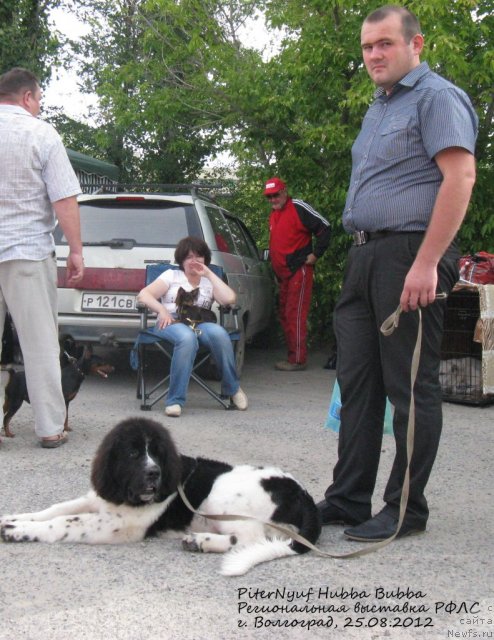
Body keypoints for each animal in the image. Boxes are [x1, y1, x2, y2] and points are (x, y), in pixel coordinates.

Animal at [0, 416, 322, 576]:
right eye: (132, 453)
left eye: (156, 453)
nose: (154, 473)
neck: (124, 494)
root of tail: (302, 491)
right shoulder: (99, 498)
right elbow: (56, 509)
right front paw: (13, 518)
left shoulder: (115, 526)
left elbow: (64, 522)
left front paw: (18, 531)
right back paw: (200, 541)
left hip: (223, 495)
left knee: (252, 541)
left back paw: (203, 541)